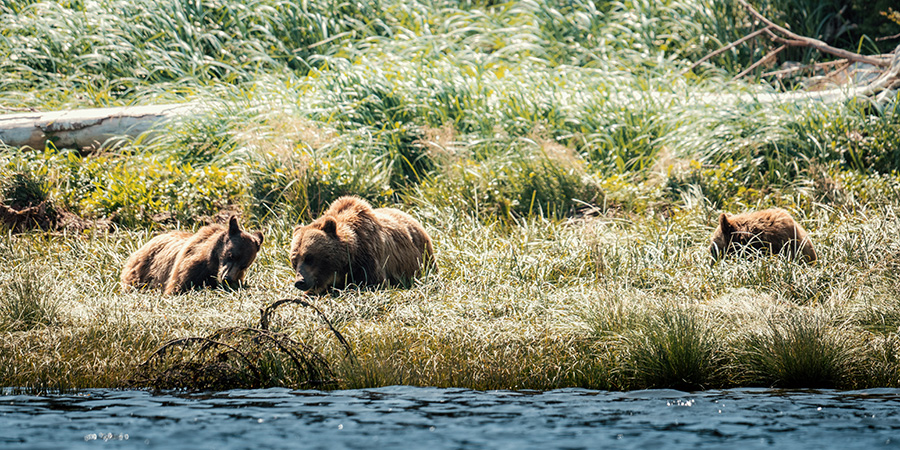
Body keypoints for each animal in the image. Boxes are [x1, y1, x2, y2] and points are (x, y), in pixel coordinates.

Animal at [119, 215, 262, 296]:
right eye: (231, 255)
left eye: (244, 265)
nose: (227, 278)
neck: (211, 262)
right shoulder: (189, 266)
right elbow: (178, 287)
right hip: (141, 271)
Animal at [290, 195, 434, 294]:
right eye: (294, 261)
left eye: (309, 257)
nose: (299, 282)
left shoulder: (369, 259)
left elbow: (374, 283)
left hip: (423, 258)